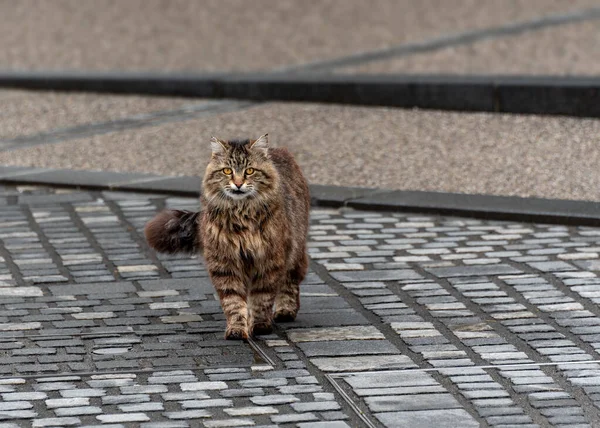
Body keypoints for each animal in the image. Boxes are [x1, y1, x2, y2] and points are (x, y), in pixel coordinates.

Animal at [144, 134, 310, 342]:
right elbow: (234, 302)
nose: (238, 184)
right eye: (227, 171)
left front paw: (260, 325)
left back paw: (285, 311)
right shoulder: (225, 264)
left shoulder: (269, 260)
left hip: (295, 250)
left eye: (249, 171)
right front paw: (237, 329)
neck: (241, 215)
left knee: (290, 282)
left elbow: (261, 298)